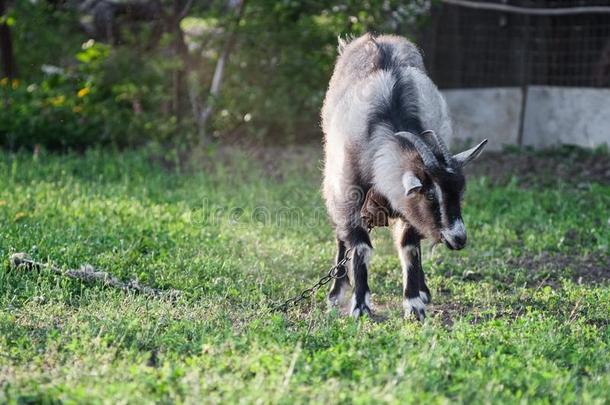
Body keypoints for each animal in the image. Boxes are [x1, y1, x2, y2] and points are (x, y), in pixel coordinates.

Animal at [318, 34, 484, 318]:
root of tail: (373, 38)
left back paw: (424, 290)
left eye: (459, 192)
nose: (459, 238)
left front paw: (414, 303)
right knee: (340, 235)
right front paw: (360, 304)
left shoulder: (408, 208)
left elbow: (410, 248)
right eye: (431, 195)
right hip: (333, 180)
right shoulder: (349, 192)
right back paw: (336, 291)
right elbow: (360, 246)